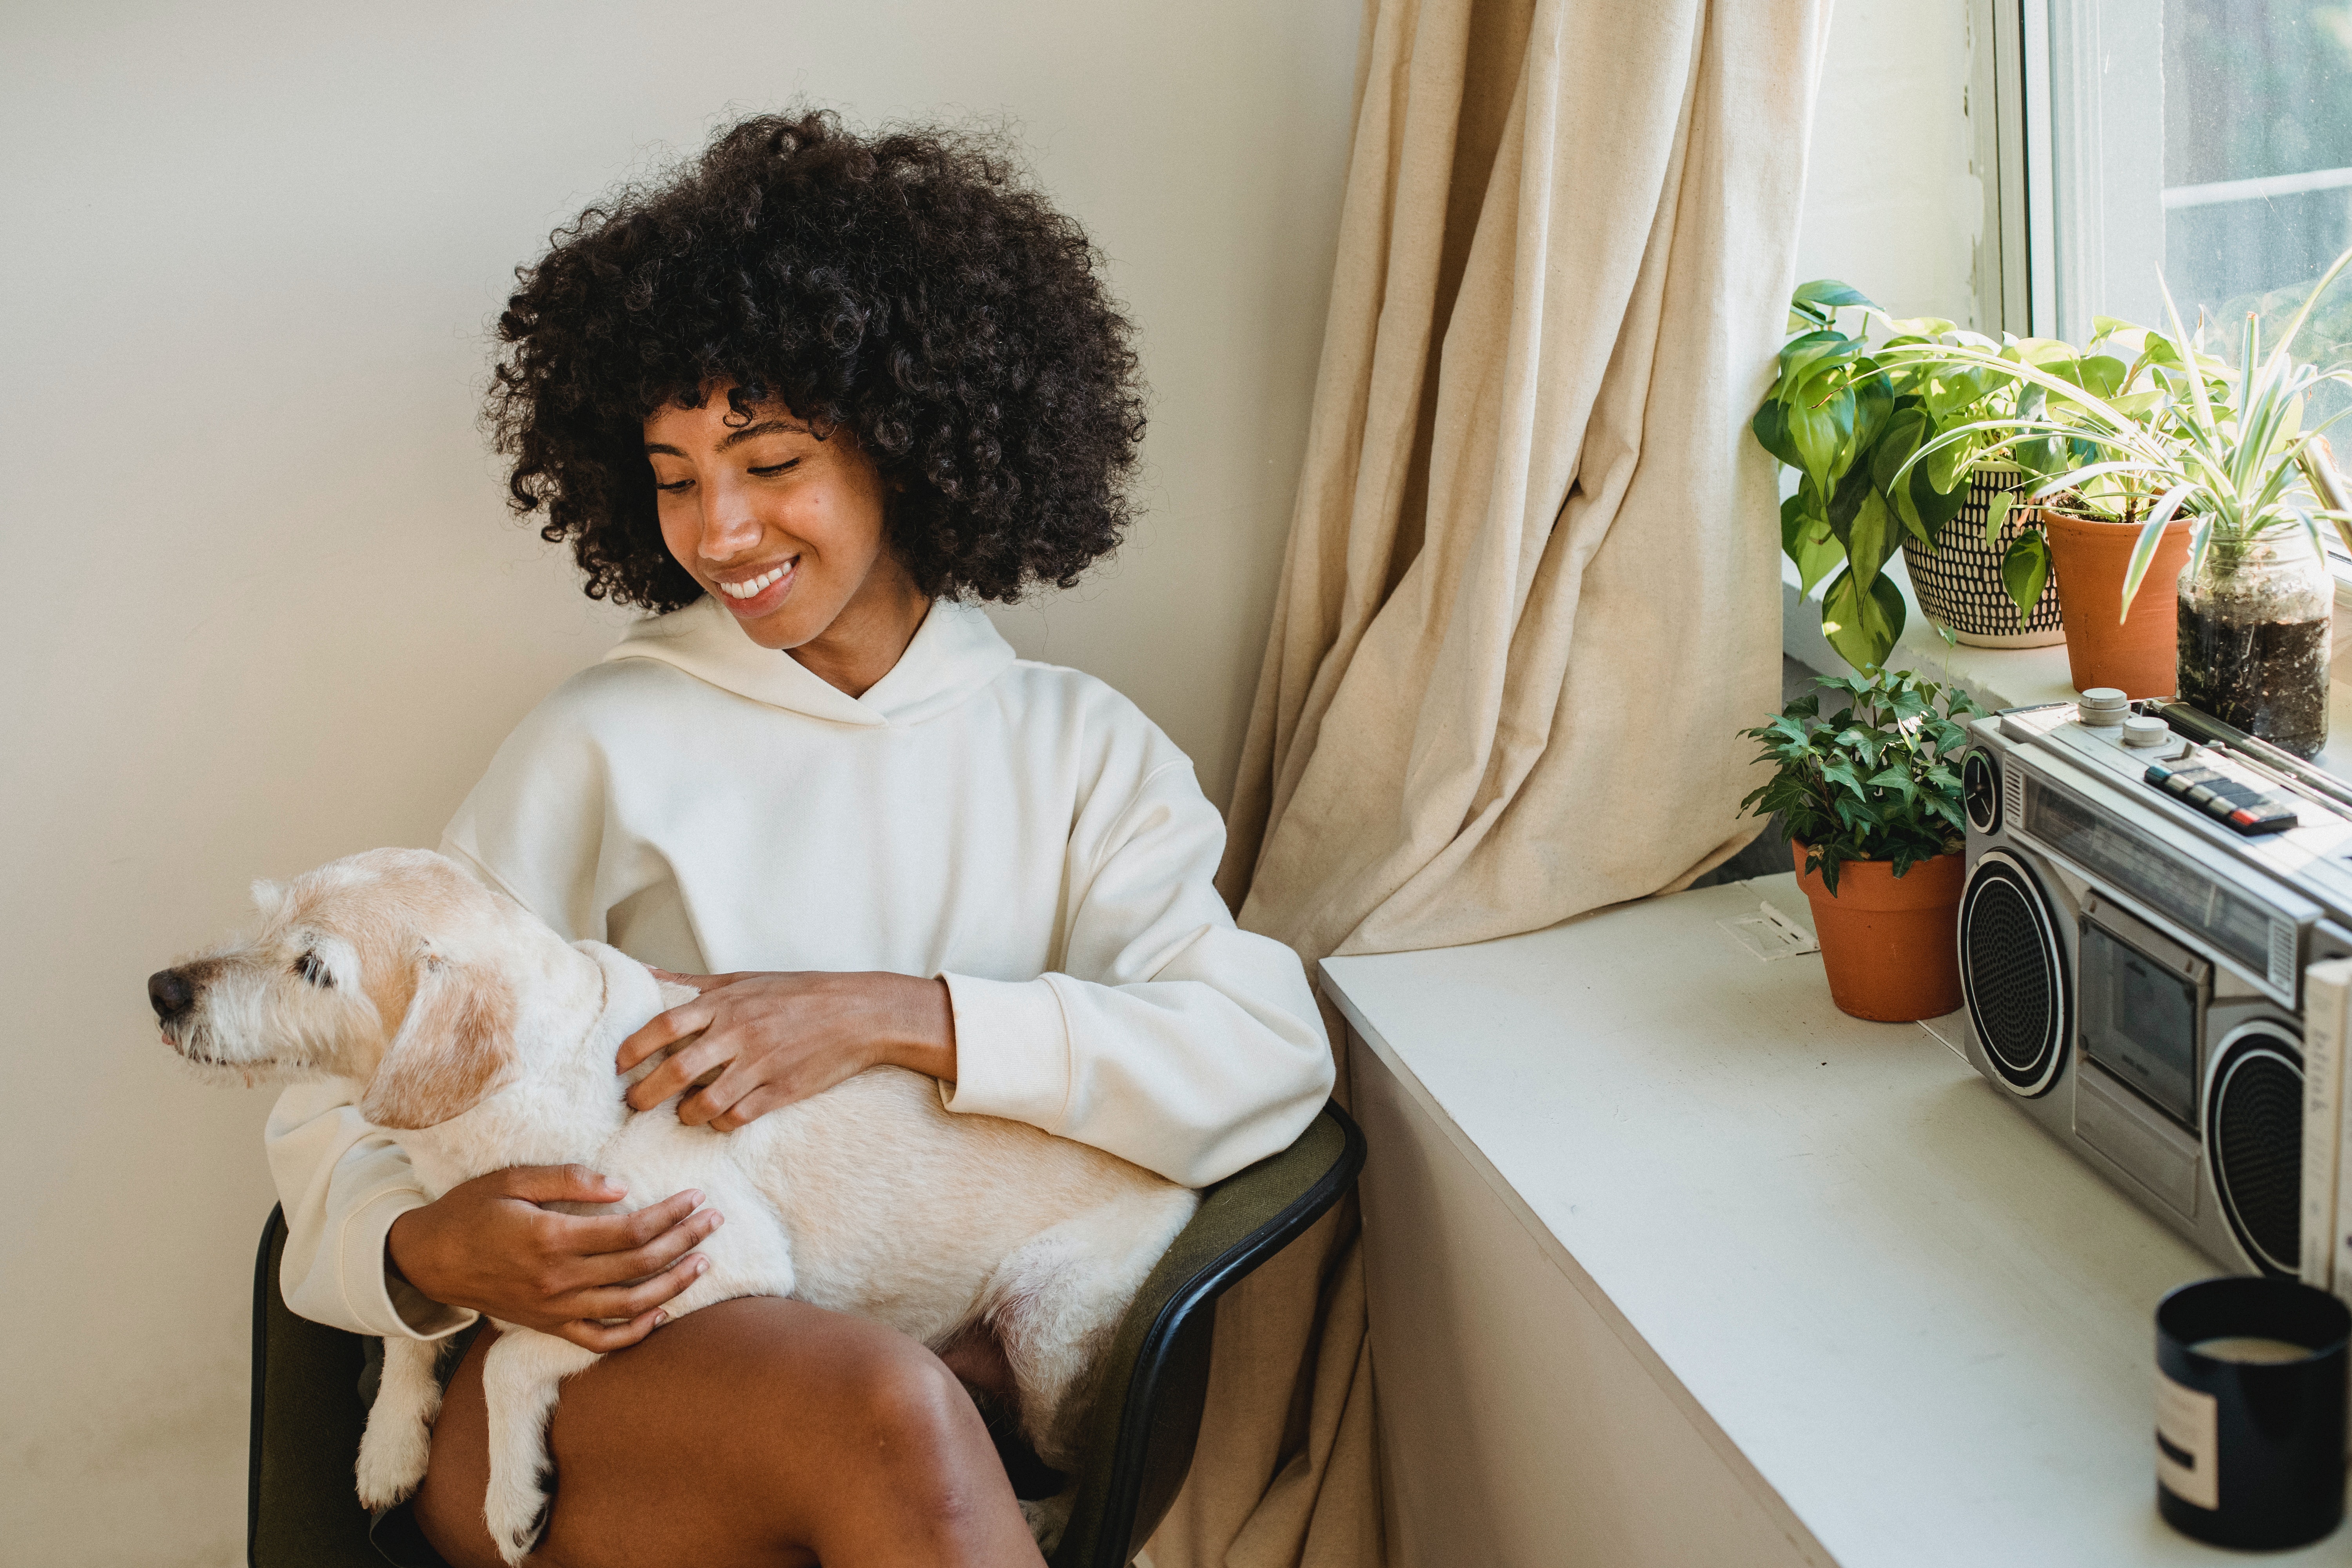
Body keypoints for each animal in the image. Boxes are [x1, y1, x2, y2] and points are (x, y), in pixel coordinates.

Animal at [152, 851, 1195, 1561]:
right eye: (264, 919)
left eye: (315, 969)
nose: (162, 988)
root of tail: (1185, 1187)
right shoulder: (454, 1227)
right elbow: (408, 1327)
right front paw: (389, 1447)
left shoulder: (706, 1260)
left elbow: (513, 1359)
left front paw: (510, 1494)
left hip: (1049, 1334)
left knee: (1087, 1465)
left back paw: (1045, 1512)